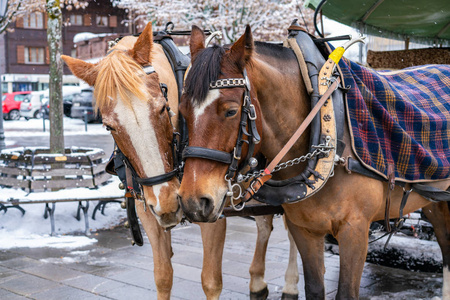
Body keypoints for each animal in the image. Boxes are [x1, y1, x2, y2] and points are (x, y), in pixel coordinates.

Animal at [59, 23, 298, 300]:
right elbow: (163, 277)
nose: (167, 202)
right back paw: (258, 281)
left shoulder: (211, 205)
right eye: (109, 126)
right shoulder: (148, 209)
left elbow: (211, 281)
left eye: (163, 108)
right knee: (265, 224)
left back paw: (289, 284)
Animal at [178, 24, 450, 298]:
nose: (193, 201)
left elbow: (346, 292)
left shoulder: (355, 231)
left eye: (232, 111)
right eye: (182, 111)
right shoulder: (304, 229)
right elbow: (314, 288)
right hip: (432, 200)